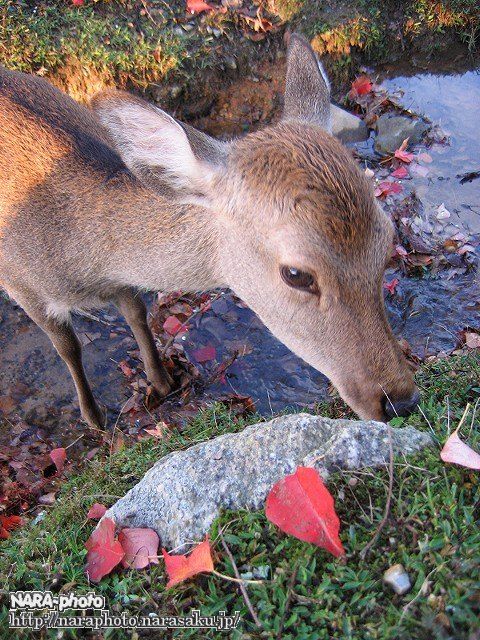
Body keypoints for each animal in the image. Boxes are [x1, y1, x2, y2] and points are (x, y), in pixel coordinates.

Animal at [0, 35, 418, 428]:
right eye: (296, 274)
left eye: (388, 240)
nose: (400, 400)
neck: (80, 257)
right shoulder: (22, 285)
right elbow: (68, 346)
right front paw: (94, 419)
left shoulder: (119, 285)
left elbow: (136, 311)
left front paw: (162, 382)